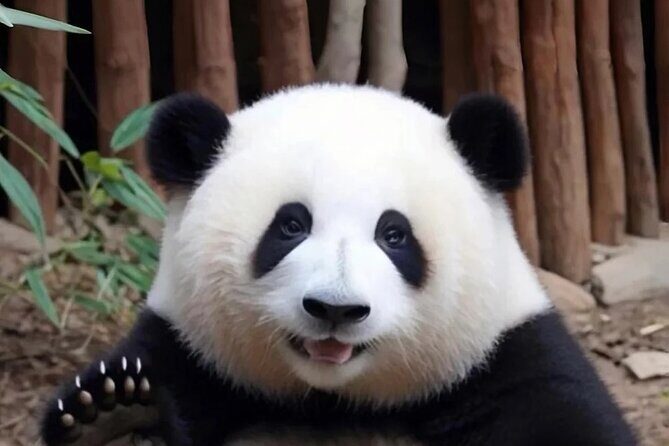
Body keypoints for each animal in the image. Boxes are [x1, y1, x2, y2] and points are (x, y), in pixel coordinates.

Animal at [41, 84, 635, 446]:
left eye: (394, 235)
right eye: (290, 226)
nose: (335, 308)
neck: (333, 401)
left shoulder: (503, 359)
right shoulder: (189, 351)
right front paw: (114, 420)